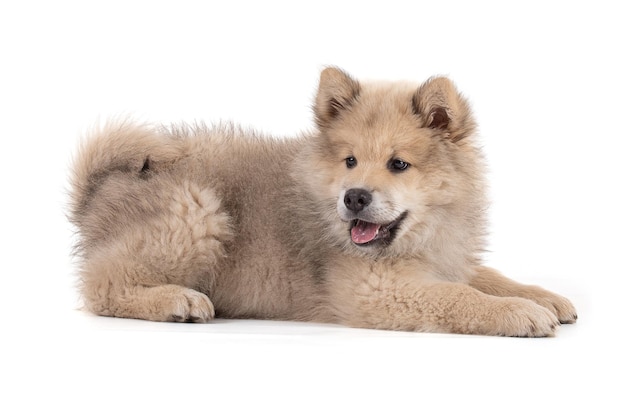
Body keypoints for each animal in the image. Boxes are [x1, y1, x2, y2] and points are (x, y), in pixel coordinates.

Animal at [68, 69, 576, 338]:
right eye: (350, 161)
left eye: (398, 164)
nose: (354, 196)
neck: (419, 237)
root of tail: (101, 185)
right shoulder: (374, 291)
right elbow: (458, 295)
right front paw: (517, 312)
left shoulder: (444, 259)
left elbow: (486, 276)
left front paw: (544, 296)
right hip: (198, 209)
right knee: (103, 286)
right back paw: (178, 299)